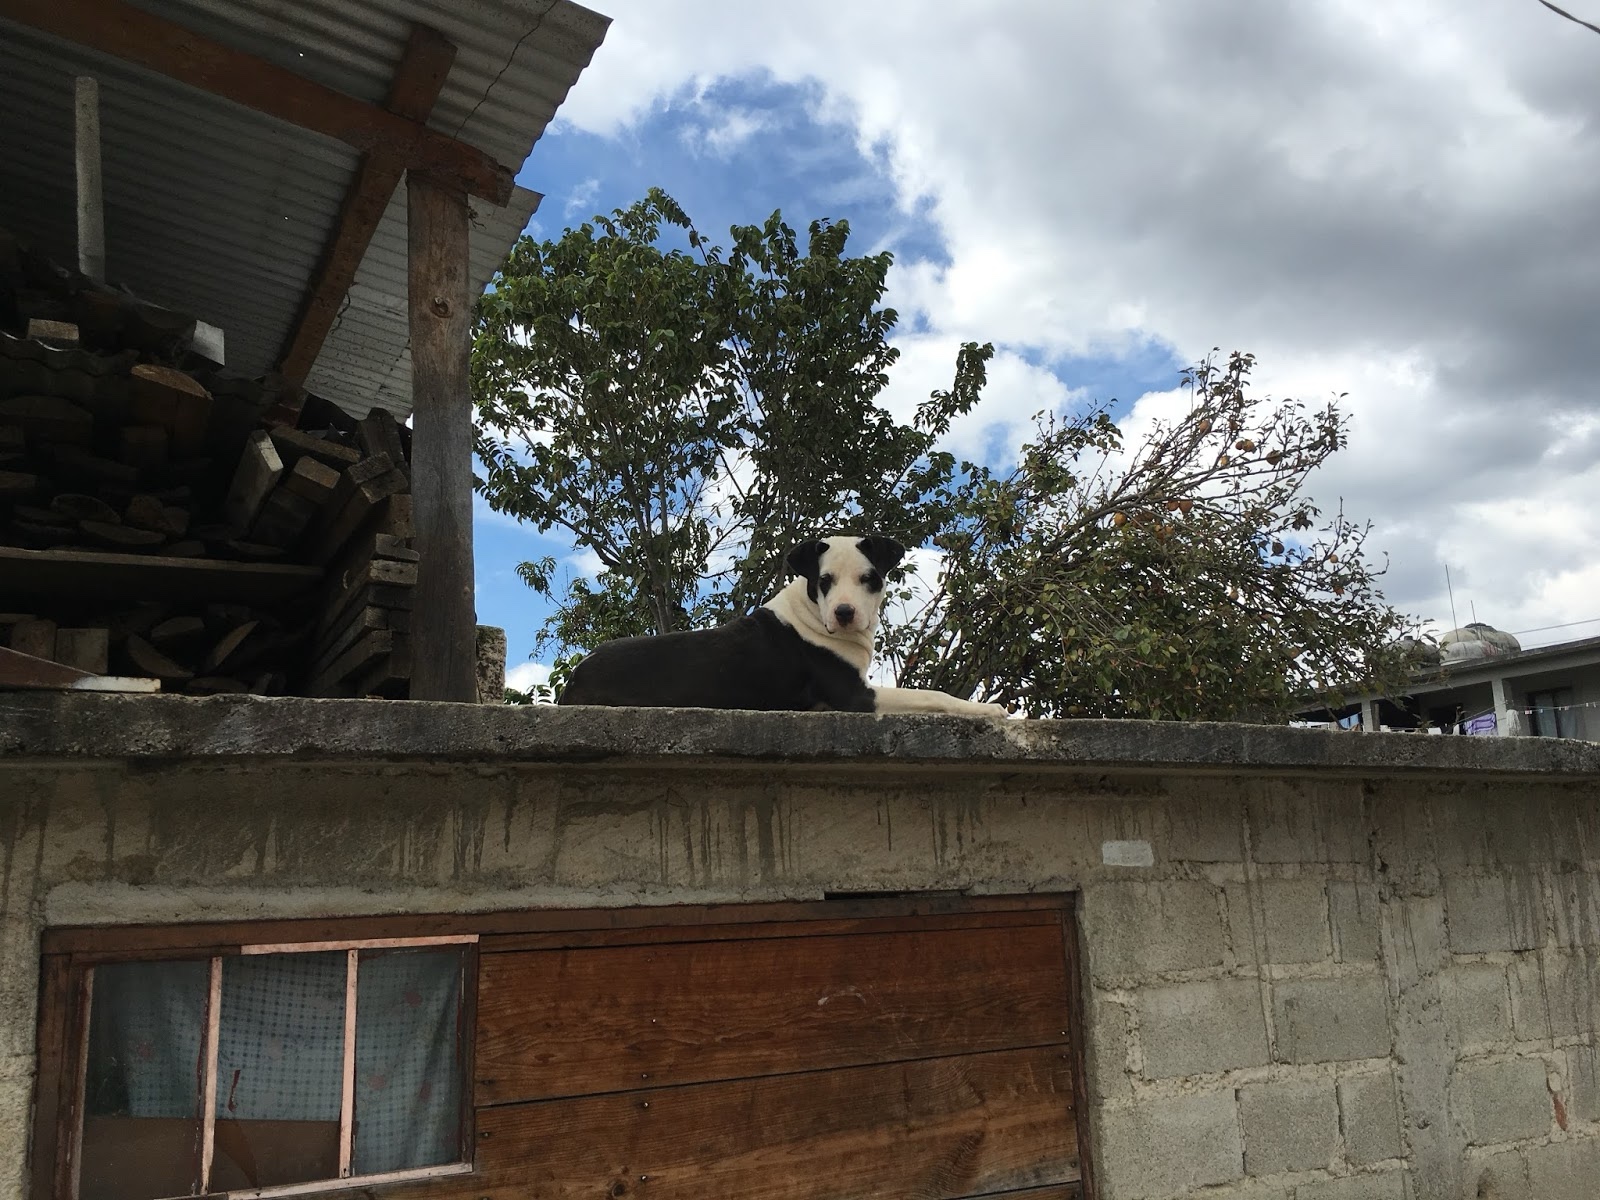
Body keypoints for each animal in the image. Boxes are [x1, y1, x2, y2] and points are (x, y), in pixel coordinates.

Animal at [557, 535, 1008, 717]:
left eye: (869, 578)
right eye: (824, 581)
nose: (844, 612)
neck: (811, 612)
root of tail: (575, 676)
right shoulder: (855, 697)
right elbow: (933, 694)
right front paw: (988, 709)